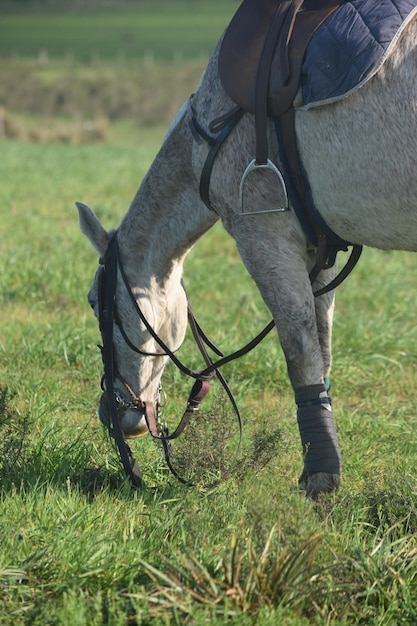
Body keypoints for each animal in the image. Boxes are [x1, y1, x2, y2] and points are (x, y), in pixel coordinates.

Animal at [76, 1, 416, 498]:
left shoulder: (264, 237)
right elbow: (322, 351)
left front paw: (320, 480)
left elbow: (300, 354)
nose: (110, 413)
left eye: (93, 302)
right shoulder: (319, 255)